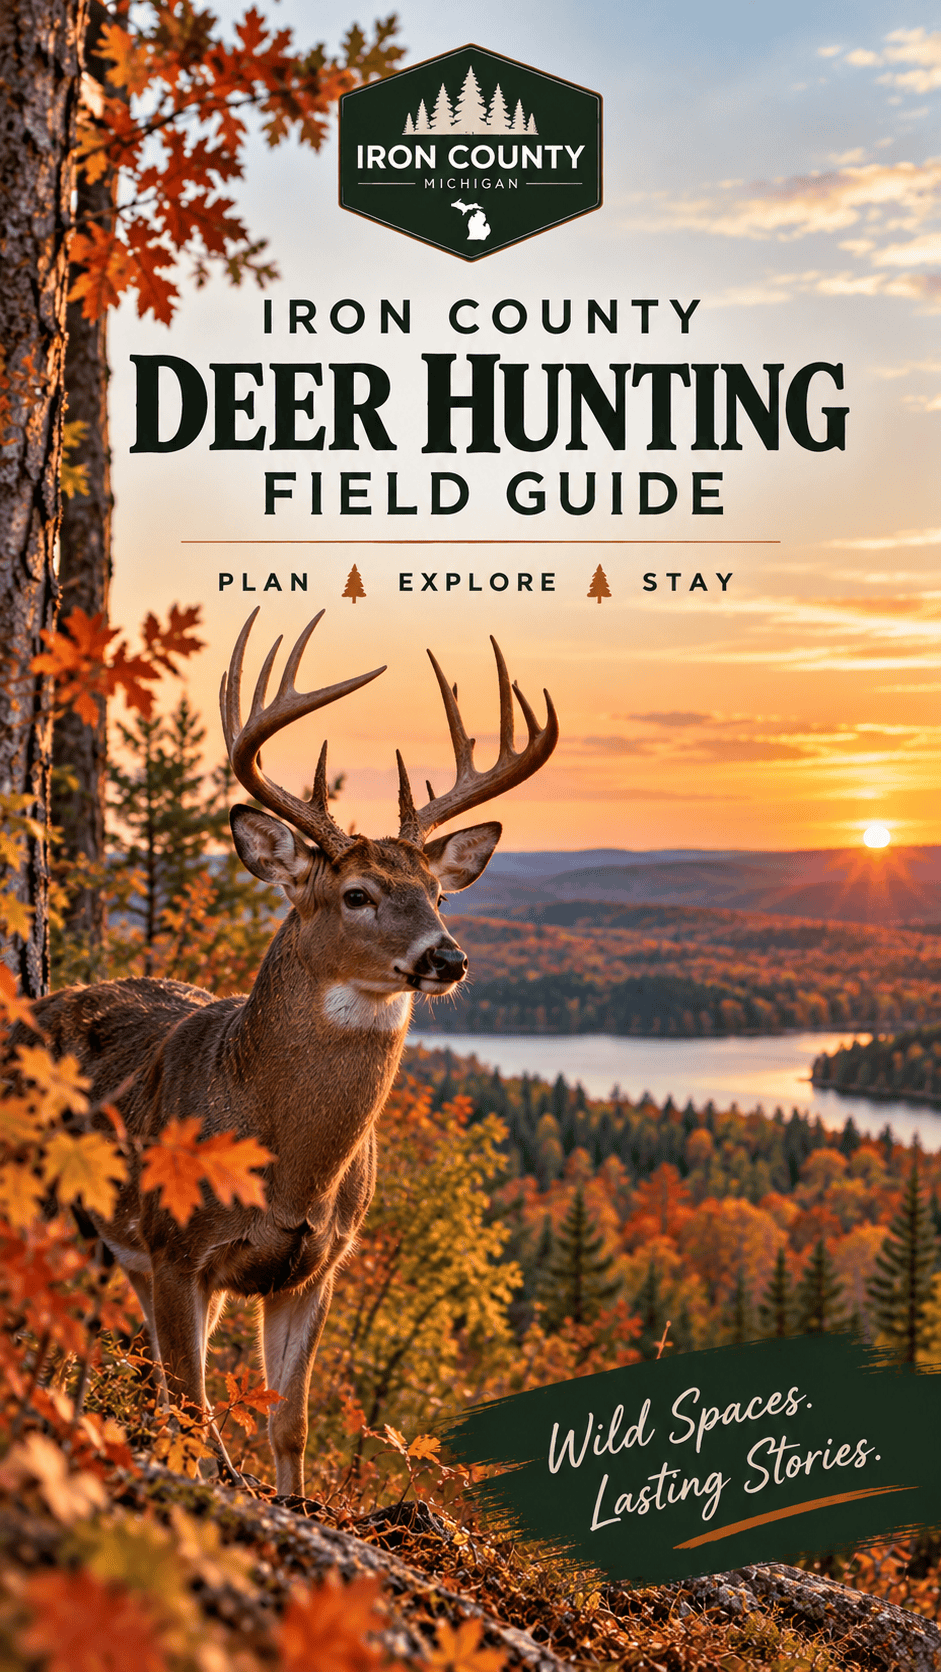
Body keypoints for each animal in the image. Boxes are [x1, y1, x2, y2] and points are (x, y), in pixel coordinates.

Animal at [30, 607, 557, 1495]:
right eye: (356, 894)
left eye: (440, 895)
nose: (447, 959)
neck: (288, 1169)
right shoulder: (177, 1249)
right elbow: (193, 1405)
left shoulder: (316, 1265)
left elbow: (287, 1421)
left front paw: (292, 1502)